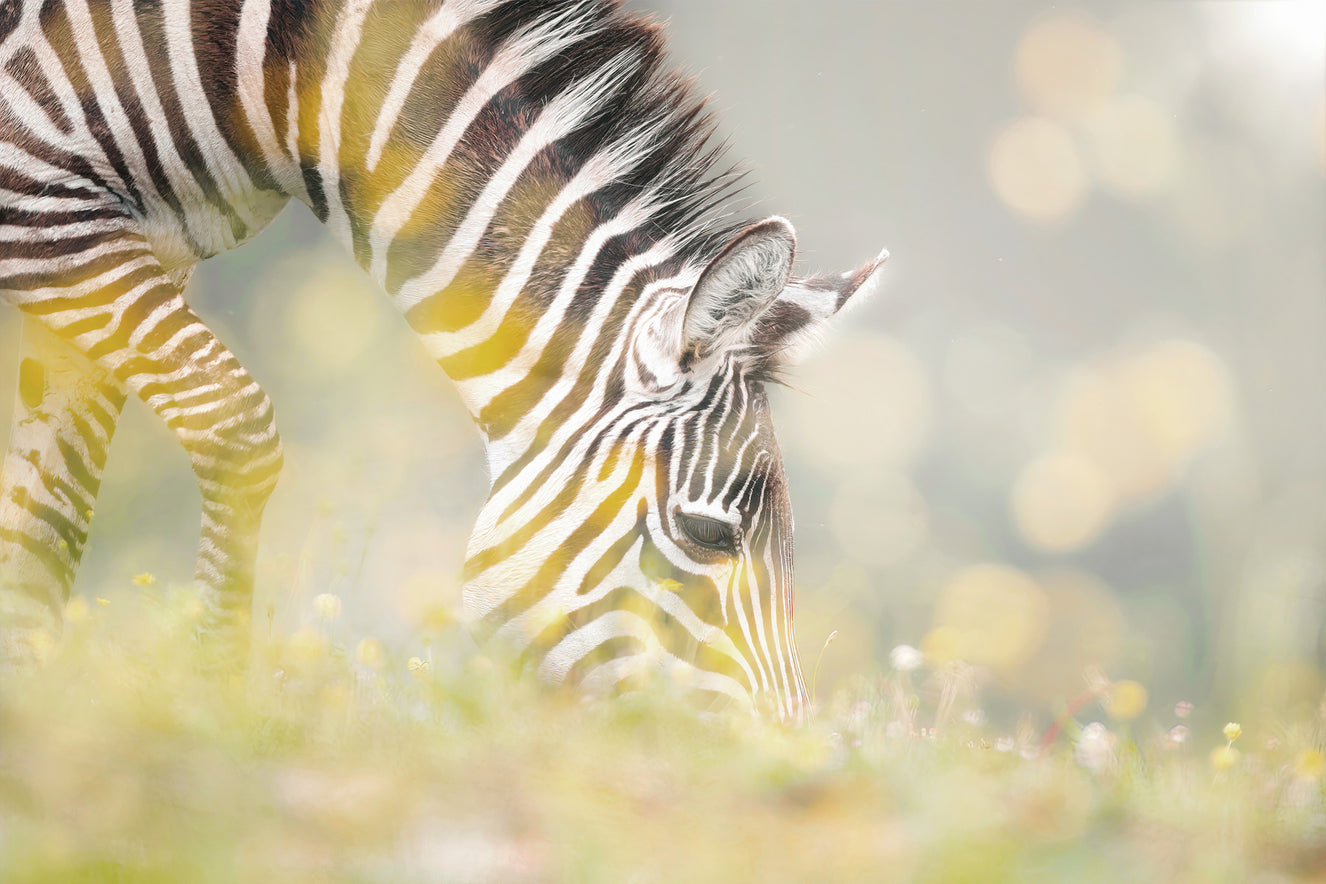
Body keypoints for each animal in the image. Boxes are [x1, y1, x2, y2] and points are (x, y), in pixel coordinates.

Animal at [0, 0, 885, 721]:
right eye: (707, 536)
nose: (783, 755)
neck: (277, 78)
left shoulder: (139, 246)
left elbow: (45, 519)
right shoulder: (43, 212)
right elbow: (231, 423)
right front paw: (208, 706)